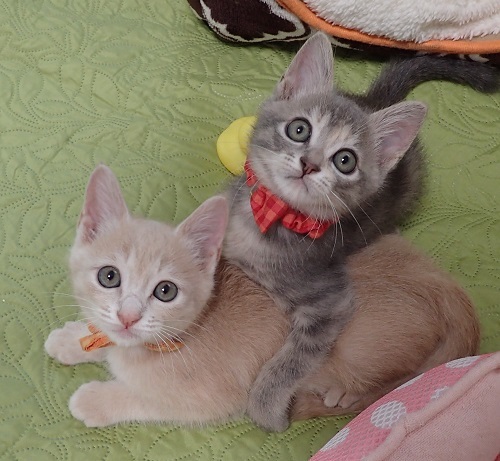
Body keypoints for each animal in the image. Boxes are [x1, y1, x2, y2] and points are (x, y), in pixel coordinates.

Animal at [44, 165, 479, 427]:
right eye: (109, 276)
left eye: (165, 291)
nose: (129, 316)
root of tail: (439, 281)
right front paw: (73, 339)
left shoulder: (216, 398)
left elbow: (147, 400)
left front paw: (95, 400)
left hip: (360, 347)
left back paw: (345, 392)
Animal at [223, 32, 498, 431]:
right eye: (299, 129)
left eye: (345, 160)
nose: (309, 164)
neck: (272, 219)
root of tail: (377, 100)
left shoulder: (330, 302)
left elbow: (292, 361)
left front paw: (265, 408)